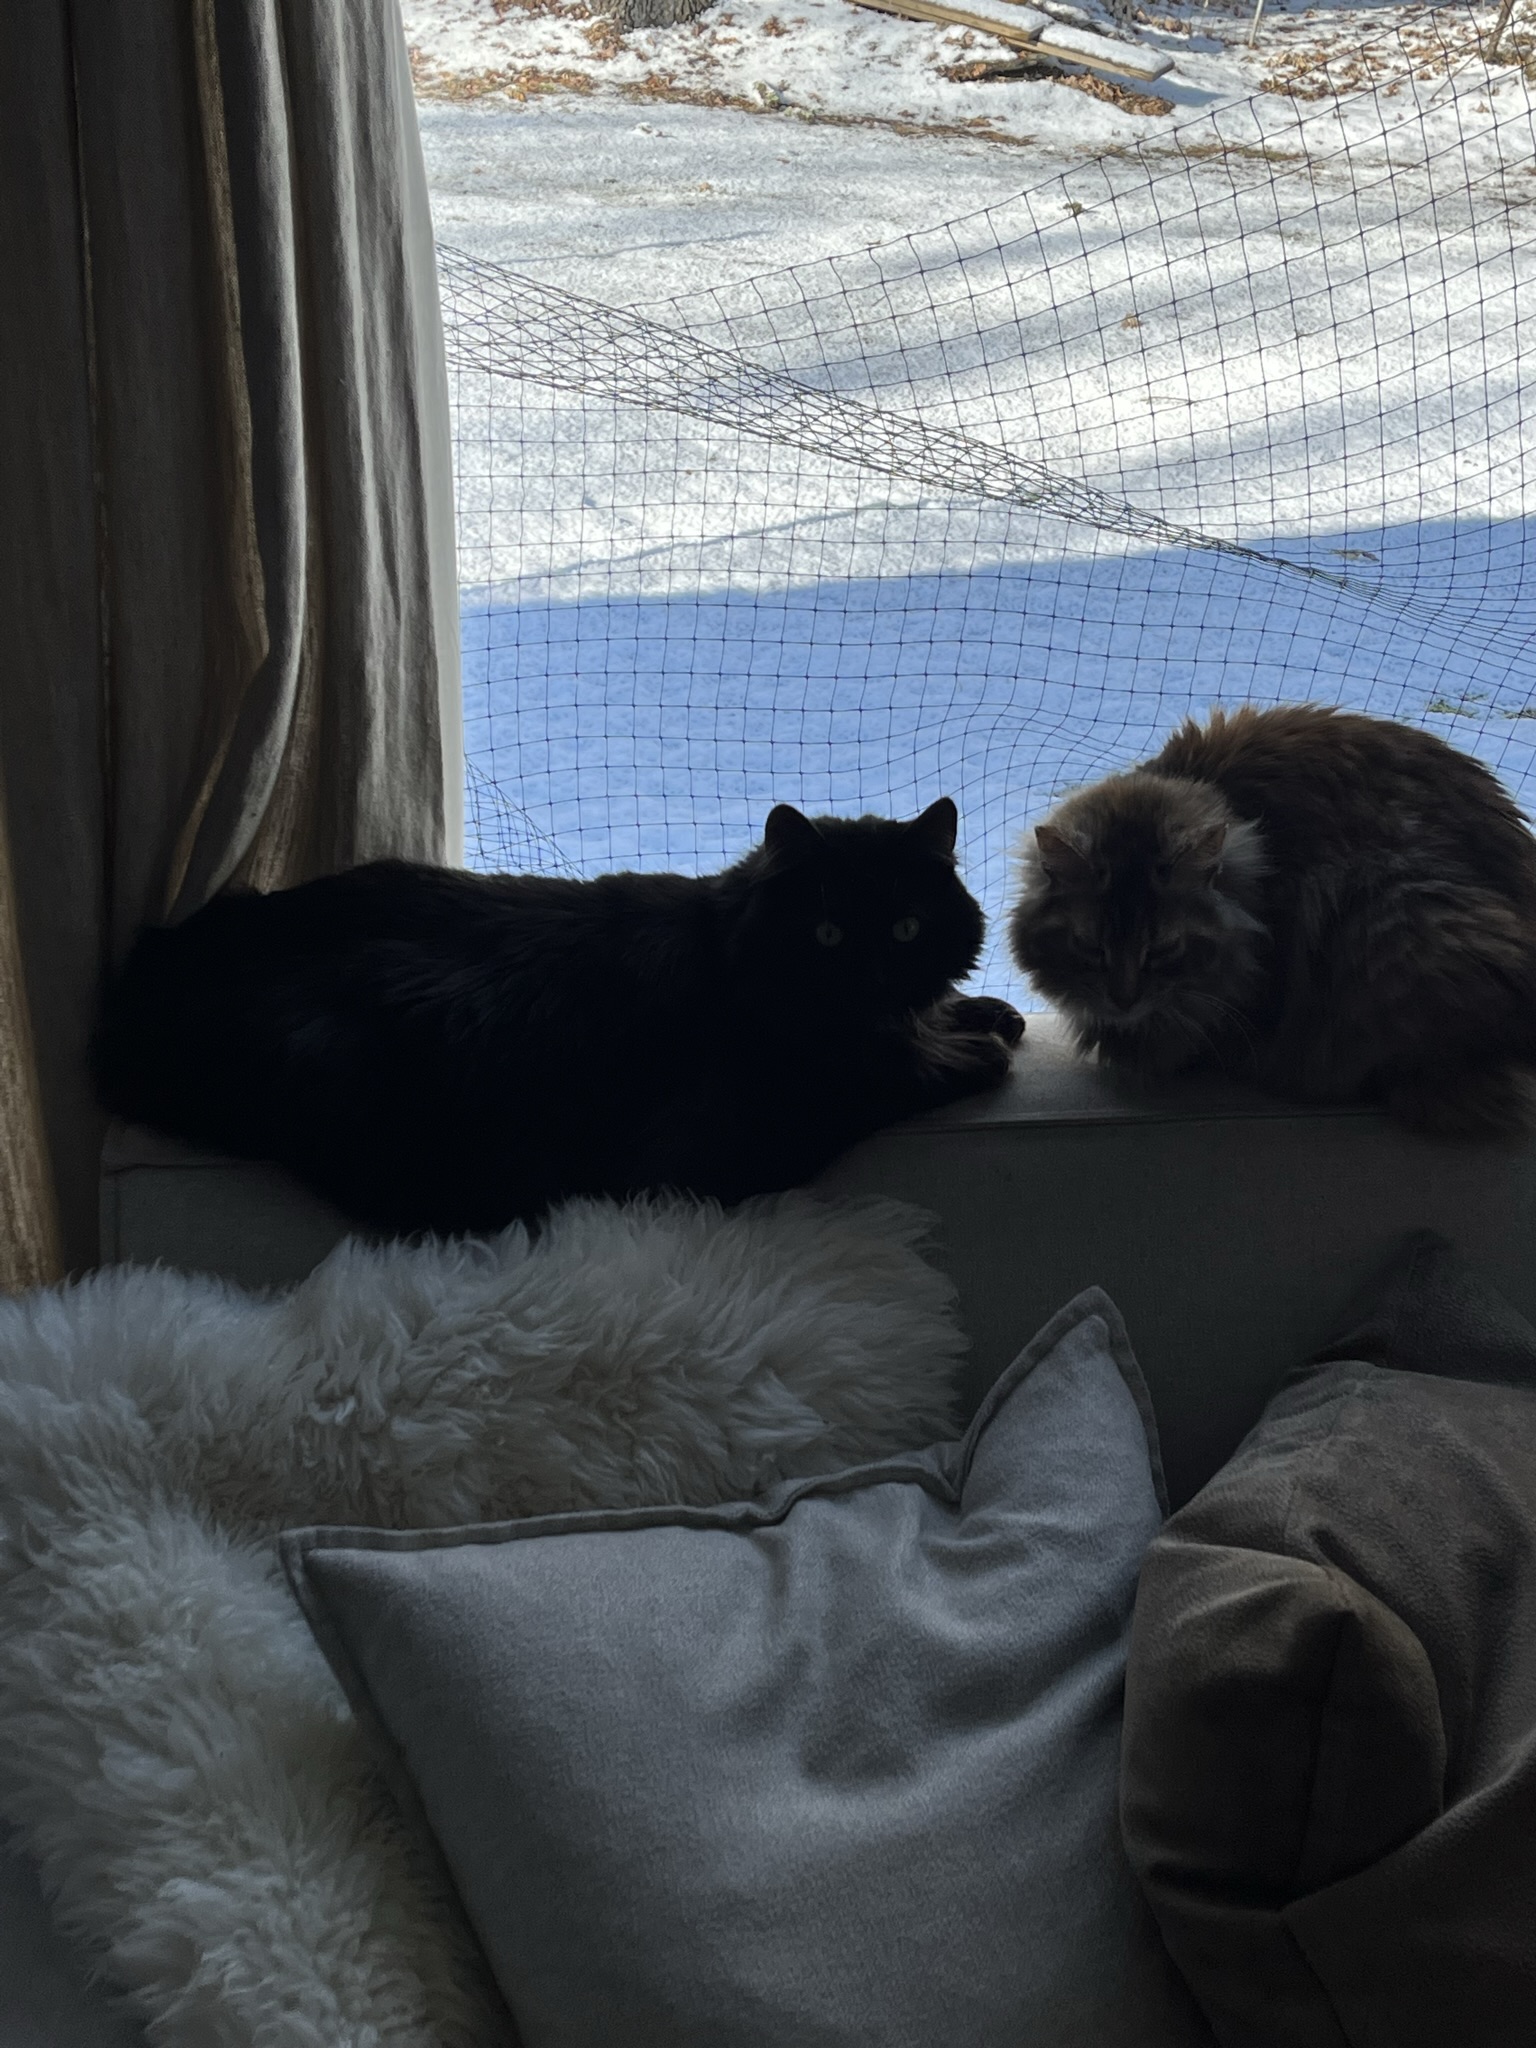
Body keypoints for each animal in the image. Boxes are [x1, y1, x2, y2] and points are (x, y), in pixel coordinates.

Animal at [96, 799, 1025, 1234]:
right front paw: (974, 1049)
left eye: (905, 928)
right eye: (827, 934)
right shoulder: (724, 1146)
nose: (871, 978)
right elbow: (881, 1078)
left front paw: (987, 1011)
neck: (727, 953)